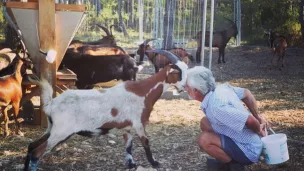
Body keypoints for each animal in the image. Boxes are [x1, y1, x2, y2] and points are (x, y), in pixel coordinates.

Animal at [23, 49, 188, 171]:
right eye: (178, 73)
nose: (184, 88)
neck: (143, 91)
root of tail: (51, 104)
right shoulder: (139, 123)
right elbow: (146, 142)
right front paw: (155, 163)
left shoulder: (127, 127)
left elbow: (129, 146)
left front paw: (131, 164)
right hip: (61, 132)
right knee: (37, 153)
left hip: (52, 129)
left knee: (31, 146)